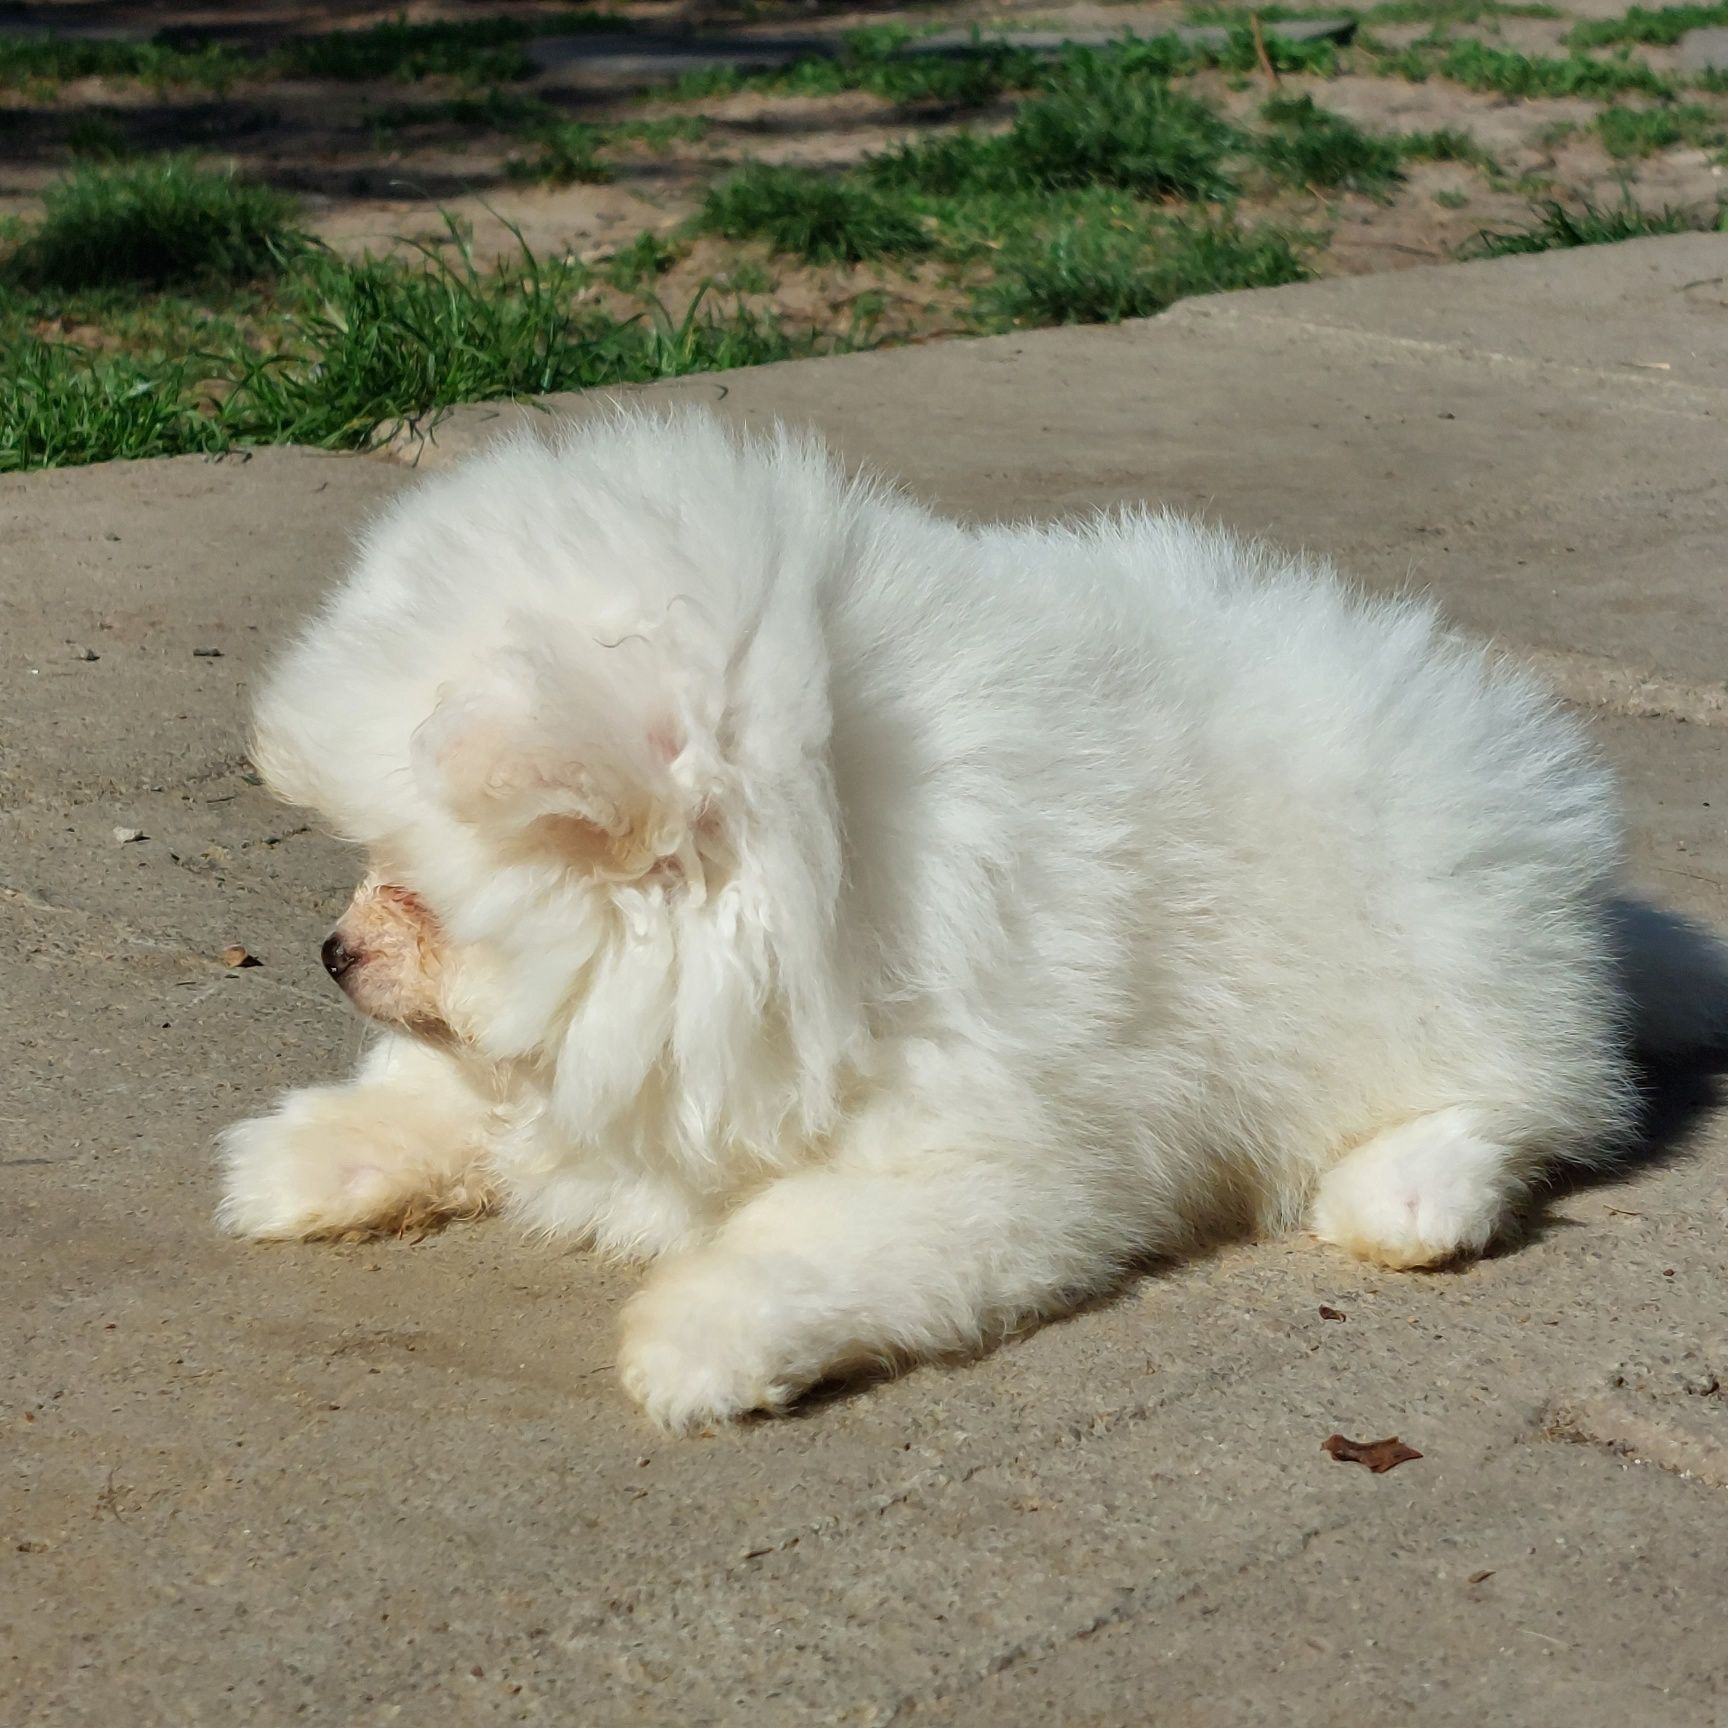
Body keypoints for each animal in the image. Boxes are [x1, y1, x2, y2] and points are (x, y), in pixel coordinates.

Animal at [216, 407, 1686, 1430]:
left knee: (1548, 1095)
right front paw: (308, 1154)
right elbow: (465, 1094)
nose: (333, 952)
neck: (836, 872)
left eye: (419, 888)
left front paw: (698, 1340)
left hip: (1435, 954)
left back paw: (1410, 1191)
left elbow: (813, 1237)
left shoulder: (1002, 1158)